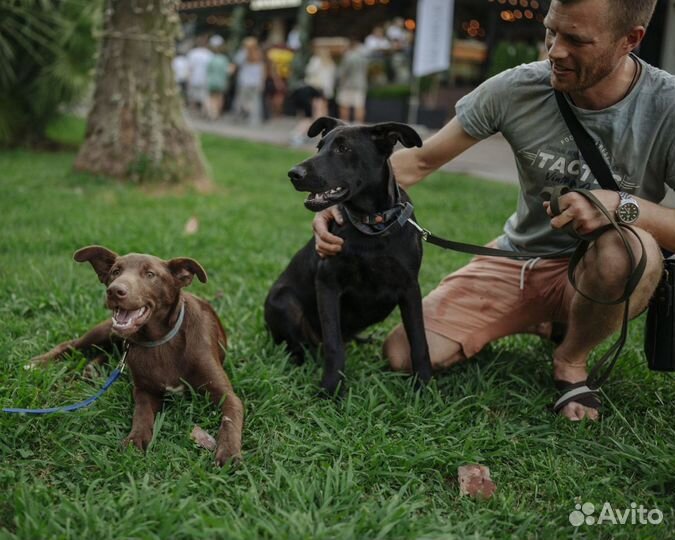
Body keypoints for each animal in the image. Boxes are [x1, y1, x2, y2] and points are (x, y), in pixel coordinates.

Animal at [31, 247, 244, 466]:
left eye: (150, 274)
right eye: (115, 271)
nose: (114, 291)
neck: (160, 340)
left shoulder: (226, 395)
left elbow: (230, 420)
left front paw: (228, 452)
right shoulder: (144, 391)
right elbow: (141, 414)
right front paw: (136, 439)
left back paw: (91, 369)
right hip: (106, 331)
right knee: (71, 344)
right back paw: (38, 363)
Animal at [266, 118, 434, 394]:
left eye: (343, 149)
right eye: (319, 146)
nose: (293, 174)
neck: (372, 226)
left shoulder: (410, 288)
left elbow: (419, 340)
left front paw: (425, 386)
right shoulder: (327, 284)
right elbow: (334, 345)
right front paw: (330, 389)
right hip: (283, 301)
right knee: (303, 346)